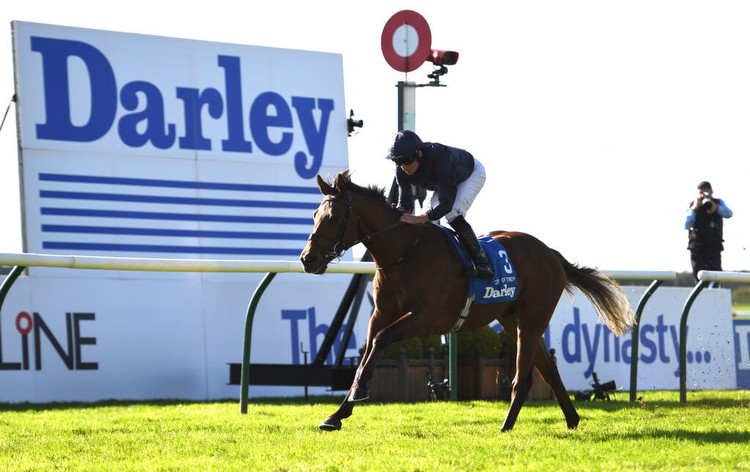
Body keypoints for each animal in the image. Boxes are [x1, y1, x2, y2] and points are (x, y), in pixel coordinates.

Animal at [300, 171, 636, 434]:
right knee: (548, 370)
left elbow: (381, 341)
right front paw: (337, 414)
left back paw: (506, 426)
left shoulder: (427, 318)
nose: (308, 259)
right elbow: (367, 355)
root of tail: (550, 253)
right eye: (315, 216)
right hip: (512, 319)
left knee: (524, 377)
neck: (406, 252)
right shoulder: (381, 314)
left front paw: (358, 392)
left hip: (532, 319)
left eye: (335, 216)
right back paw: (572, 420)